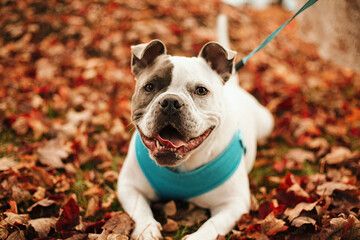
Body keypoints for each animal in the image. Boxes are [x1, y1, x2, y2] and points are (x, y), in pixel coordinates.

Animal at [116, 14, 274, 239]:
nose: (170, 102)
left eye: (201, 90)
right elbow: (140, 210)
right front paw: (147, 229)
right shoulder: (129, 186)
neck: (182, 166)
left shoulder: (233, 204)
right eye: (150, 87)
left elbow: (213, 225)